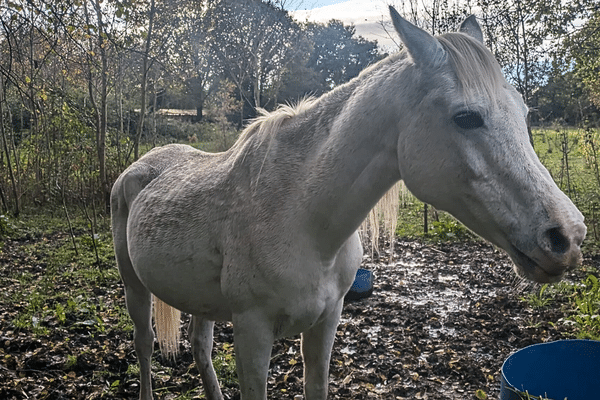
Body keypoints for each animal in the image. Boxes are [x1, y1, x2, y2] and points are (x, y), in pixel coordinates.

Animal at [111, 7, 584, 400]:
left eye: (525, 114)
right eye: (466, 117)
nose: (567, 236)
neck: (301, 218)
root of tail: (144, 164)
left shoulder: (326, 325)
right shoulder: (252, 334)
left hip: (199, 301)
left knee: (199, 346)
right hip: (135, 288)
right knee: (144, 346)